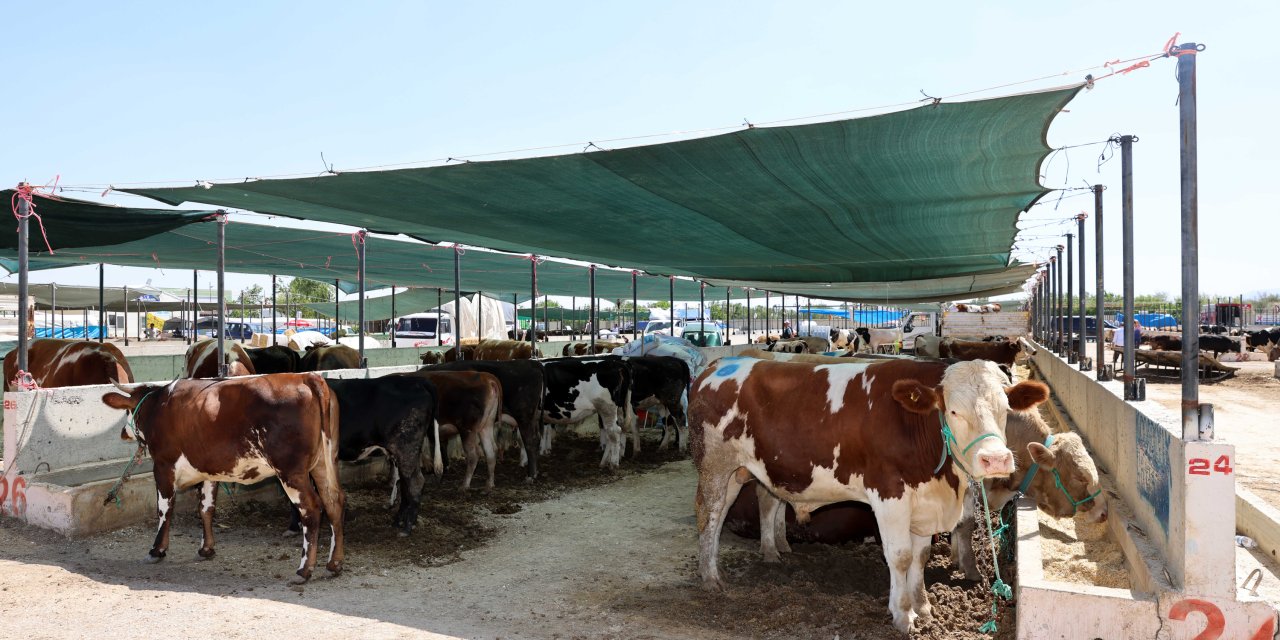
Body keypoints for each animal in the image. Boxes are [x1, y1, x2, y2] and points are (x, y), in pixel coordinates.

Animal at [99, 373, 343, 586]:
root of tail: (307, 377)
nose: (123, 432)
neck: (158, 406)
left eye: (129, 411)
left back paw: (304, 570)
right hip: (324, 462)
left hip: (291, 471)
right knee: (334, 502)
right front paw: (206, 549)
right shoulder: (209, 471)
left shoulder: (163, 465)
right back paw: (334, 564)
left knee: (311, 509)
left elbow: (164, 509)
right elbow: (206, 508)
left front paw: (157, 550)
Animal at [696, 358, 1044, 632]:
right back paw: (710, 578)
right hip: (715, 465)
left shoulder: (923, 503)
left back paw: (762, 555)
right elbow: (900, 556)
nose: (995, 459)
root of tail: (717, 366)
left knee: (740, 506)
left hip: (742, 471)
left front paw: (923, 607)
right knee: (709, 516)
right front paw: (903, 615)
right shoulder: (889, 494)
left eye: (1005, 408)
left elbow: (920, 556)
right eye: (954, 411)